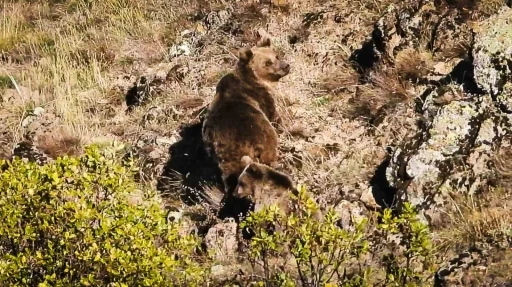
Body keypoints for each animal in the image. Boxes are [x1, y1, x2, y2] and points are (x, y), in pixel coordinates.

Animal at [202, 35, 290, 200]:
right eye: (267, 62)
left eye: (276, 55)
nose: (286, 66)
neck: (252, 78)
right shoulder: (262, 97)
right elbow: (274, 115)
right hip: (261, 135)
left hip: (225, 159)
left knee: (230, 176)